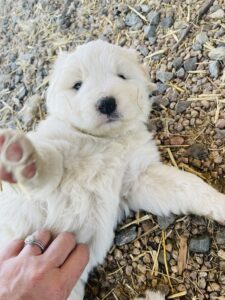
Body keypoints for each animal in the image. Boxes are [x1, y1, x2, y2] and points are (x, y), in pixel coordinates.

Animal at [0, 39, 225, 300]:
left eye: (121, 75)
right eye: (77, 85)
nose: (106, 103)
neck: (105, 140)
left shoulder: (139, 177)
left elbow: (188, 184)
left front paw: (219, 203)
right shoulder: (57, 157)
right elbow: (48, 164)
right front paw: (19, 156)